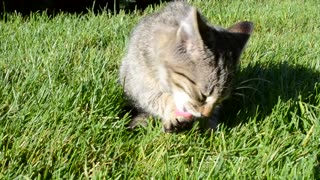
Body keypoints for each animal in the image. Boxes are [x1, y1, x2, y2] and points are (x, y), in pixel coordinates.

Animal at [119, 1, 254, 132]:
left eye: (220, 100)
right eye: (203, 96)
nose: (205, 114)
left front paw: (208, 123)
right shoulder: (140, 85)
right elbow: (160, 98)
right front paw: (174, 115)